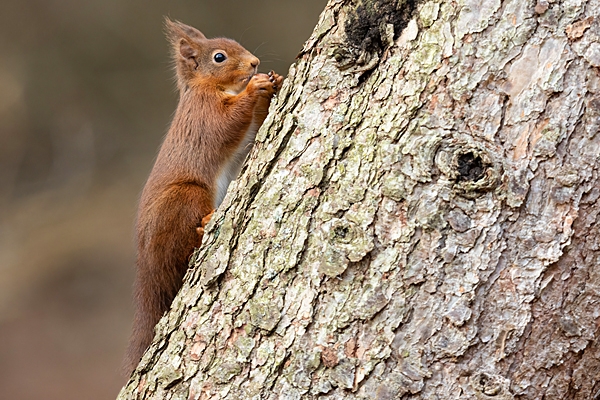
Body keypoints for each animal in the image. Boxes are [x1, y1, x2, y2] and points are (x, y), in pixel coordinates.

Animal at [125, 18, 284, 376]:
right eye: (219, 57)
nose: (255, 63)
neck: (211, 87)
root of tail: (146, 273)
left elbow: (254, 123)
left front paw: (274, 81)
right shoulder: (204, 113)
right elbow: (227, 125)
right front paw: (255, 88)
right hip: (186, 196)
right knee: (181, 251)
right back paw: (204, 225)